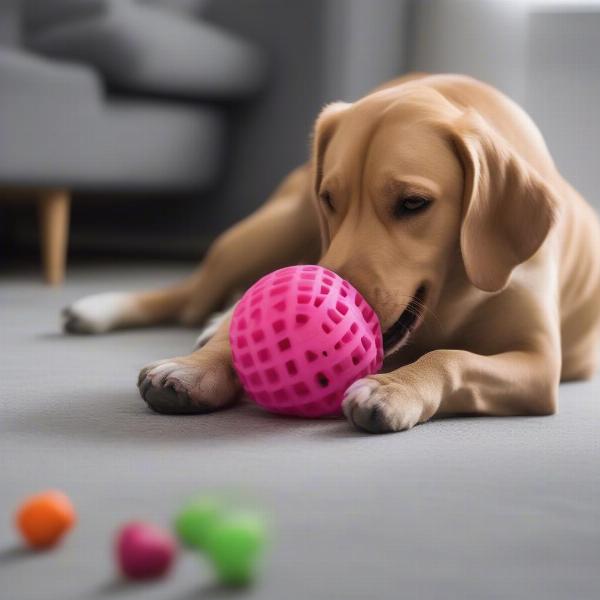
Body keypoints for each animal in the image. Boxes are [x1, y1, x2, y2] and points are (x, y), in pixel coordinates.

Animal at [63, 74, 600, 432]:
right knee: (193, 294)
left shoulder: (538, 365)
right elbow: (240, 324)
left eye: (413, 203)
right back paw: (103, 308)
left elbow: (453, 356)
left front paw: (395, 389)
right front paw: (196, 368)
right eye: (330, 198)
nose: (334, 314)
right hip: (271, 230)